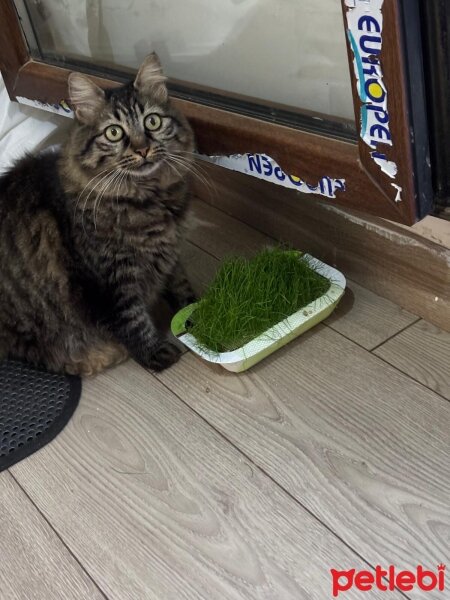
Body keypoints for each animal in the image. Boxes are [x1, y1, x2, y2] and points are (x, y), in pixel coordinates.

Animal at [0, 54, 197, 372]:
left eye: (152, 121)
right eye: (114, 132)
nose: (143, 149)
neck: (148, 199)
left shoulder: (170, 251)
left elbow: (180, 285)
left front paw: (198, 313)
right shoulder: (109, 282)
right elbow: (133, 321)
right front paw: (157, 354)